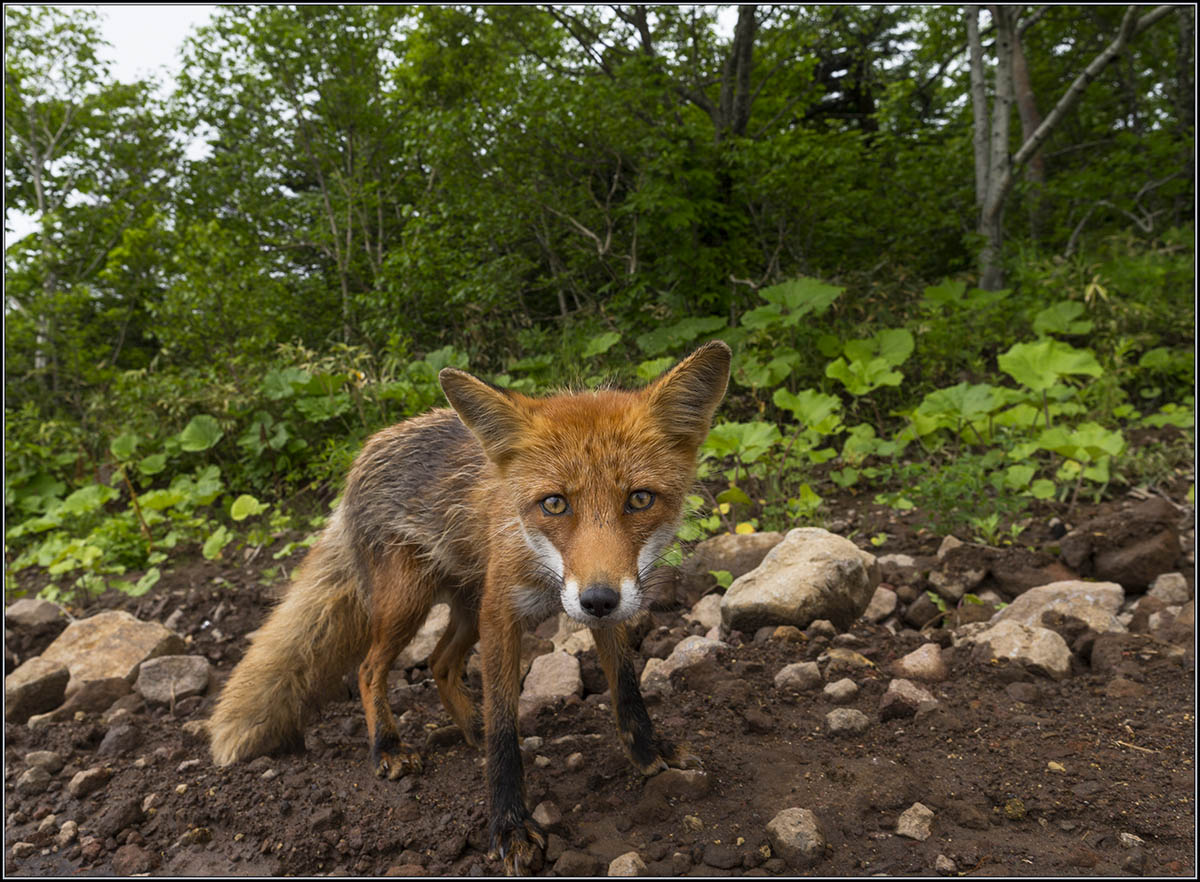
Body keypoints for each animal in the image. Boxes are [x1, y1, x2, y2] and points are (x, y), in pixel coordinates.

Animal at [206, 340, 729, 873]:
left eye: (640, 499)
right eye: (554, 504)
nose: (598, 600)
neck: (540, 563)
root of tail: (366, 451)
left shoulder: (608, 604)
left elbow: (626, 689)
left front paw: (648, 752)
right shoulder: (503, 615)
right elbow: (504, 726)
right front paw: (509, 825)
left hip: (467, 608)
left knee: (439, 663)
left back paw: (468, 727)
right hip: (409, 605)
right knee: (370, 669)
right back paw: (387, 747)